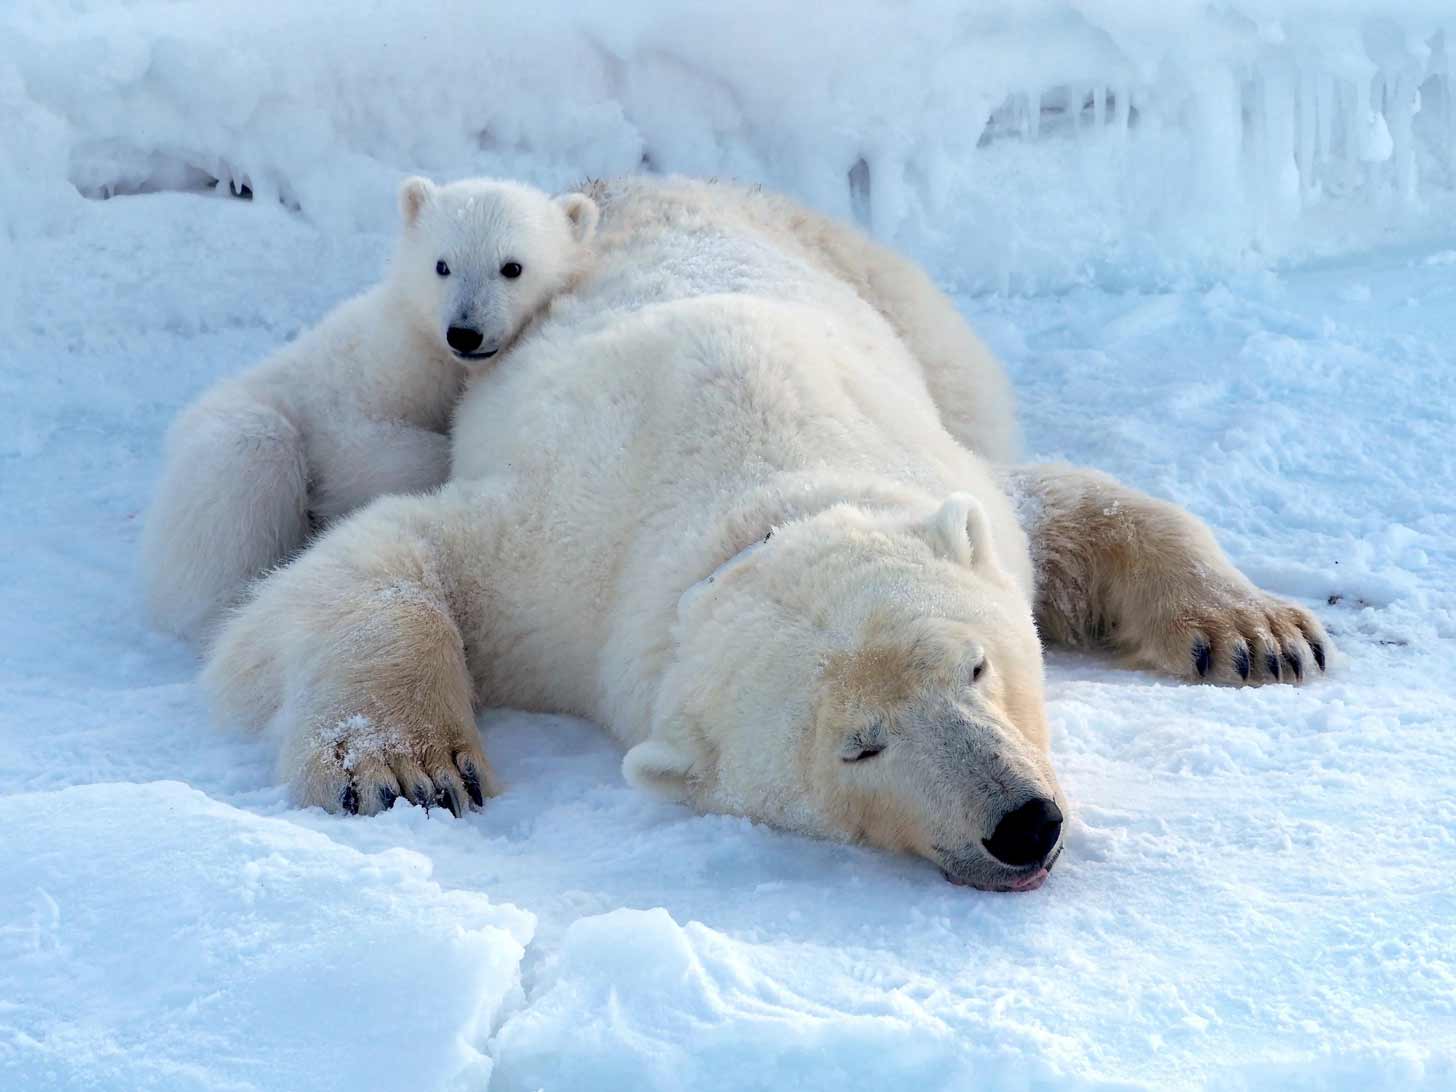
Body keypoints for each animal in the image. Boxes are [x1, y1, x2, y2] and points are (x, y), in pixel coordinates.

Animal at [138, 176, 600, 642]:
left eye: (512, 267)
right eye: (442, 265)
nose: (464, 333)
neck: (435, 356)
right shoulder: (367, 378)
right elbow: (362, 449)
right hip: (231, 433)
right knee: (247, 464)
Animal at [202, 176, 1330, 892]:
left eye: (974, 666)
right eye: (859, 746)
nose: (1022, 824)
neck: (757, 490)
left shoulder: (931, 468)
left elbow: (1067, 508)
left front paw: (1257, 635)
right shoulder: (563, 568)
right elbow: (385, 557)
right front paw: (410, 769)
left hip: (897, 299)